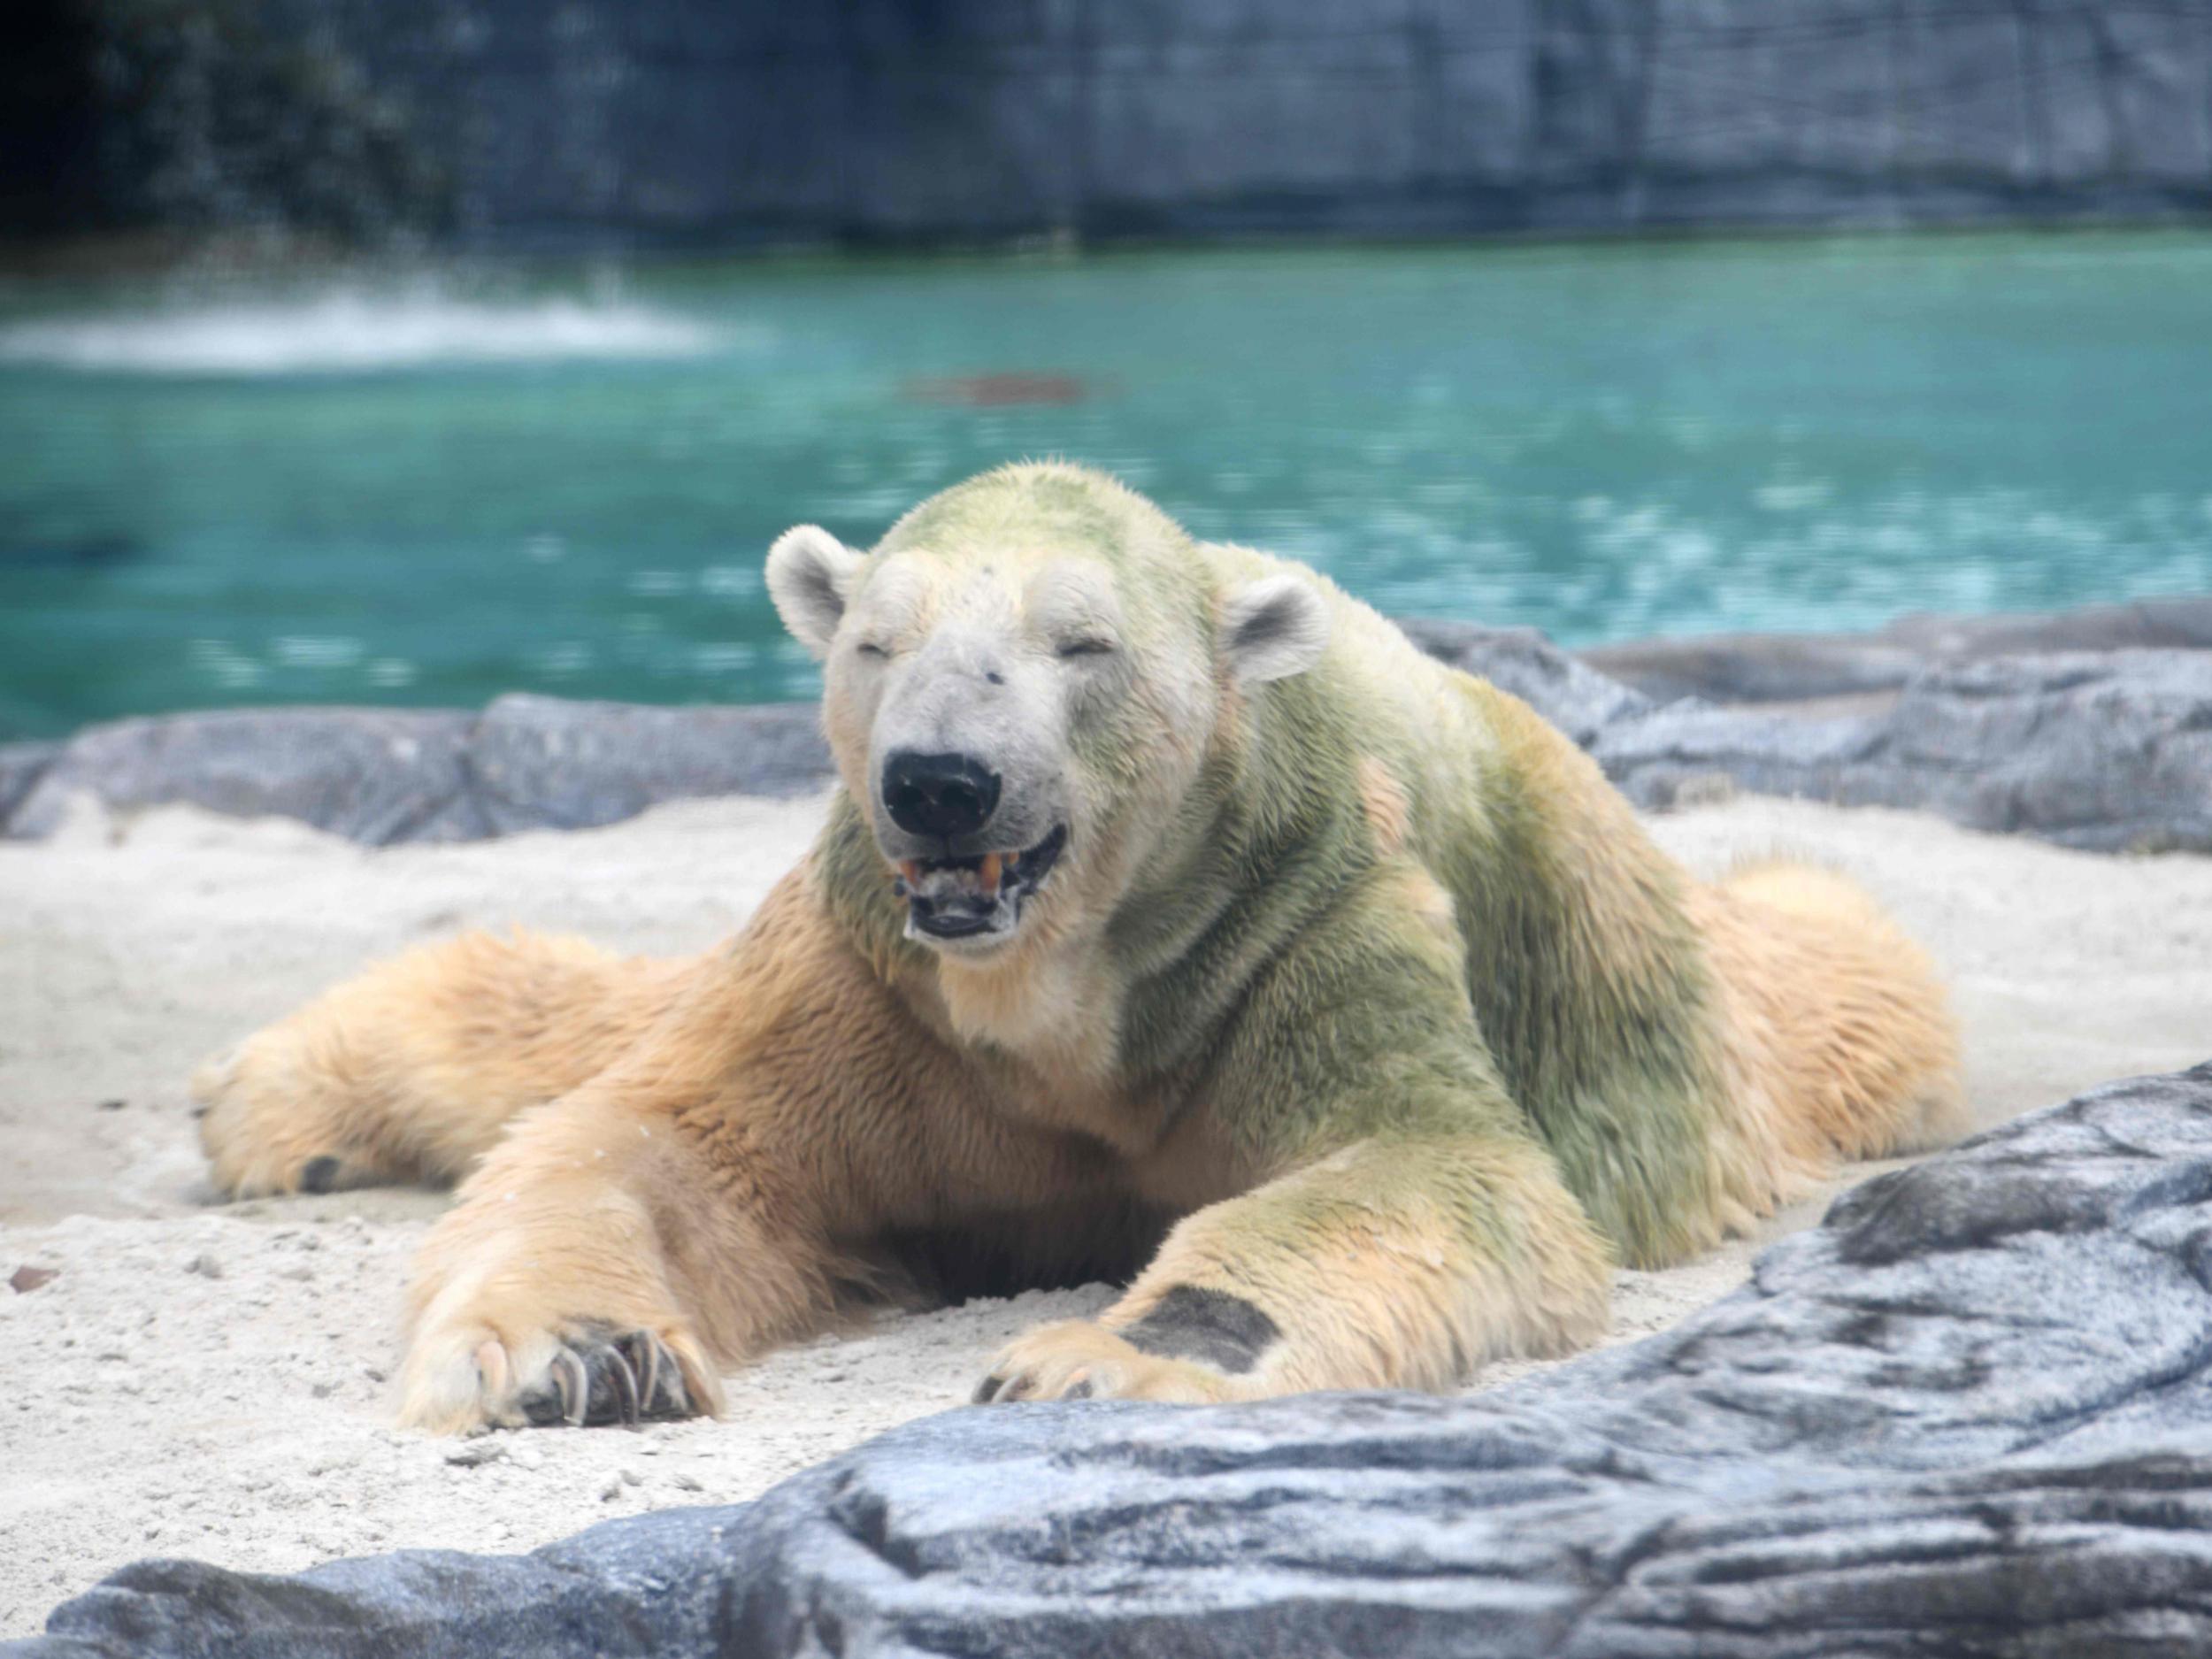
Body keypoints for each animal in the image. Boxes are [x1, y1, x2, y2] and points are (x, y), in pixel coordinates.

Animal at [186, 465, 1955, 1433]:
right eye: (877, 639)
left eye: (1080, 644)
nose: (940, 780)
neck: (1064, 970)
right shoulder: (873, 979)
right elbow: (658, 1141)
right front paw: (577, 1358)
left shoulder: (1306, 922)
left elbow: (1435, 1164)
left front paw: (1091, 1363)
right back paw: (272, 1106)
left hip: (1679, 986)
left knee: (1843, 973)